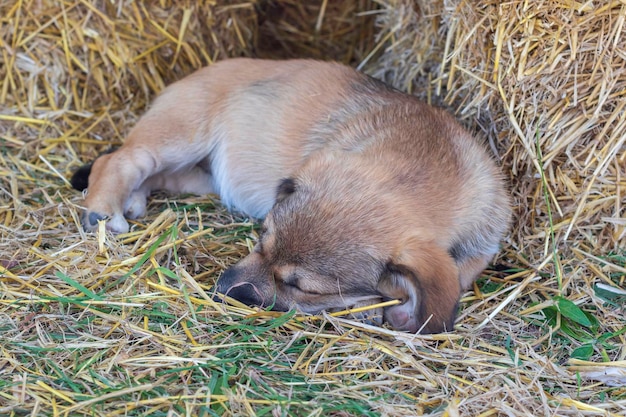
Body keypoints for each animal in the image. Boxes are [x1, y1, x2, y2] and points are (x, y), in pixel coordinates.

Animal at [70, 57, 510, 332]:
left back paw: (133, 199)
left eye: (301, 287)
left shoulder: (481, 246)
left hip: (200, 176)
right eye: (260, 240)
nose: (222, 292)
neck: (426, 164)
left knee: (152, 174)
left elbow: (459, 275)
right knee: (118, 160)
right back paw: (103, 212)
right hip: (181, 135)